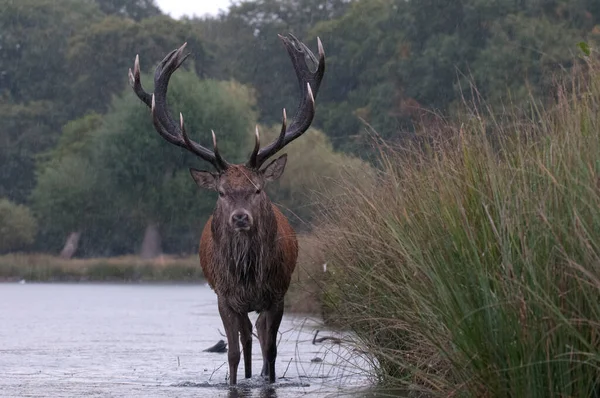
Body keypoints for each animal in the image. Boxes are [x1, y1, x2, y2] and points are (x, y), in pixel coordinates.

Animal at [126, 35, 324, 386]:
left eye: (258, 189)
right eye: (221, 192)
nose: (240, 217)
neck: (248, 278)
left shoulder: (277, 294)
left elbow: (271, 351)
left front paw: (268, 379)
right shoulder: (224, 298)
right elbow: (232, 352)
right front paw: (234, 382)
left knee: (258, 337)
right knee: (245, 339)